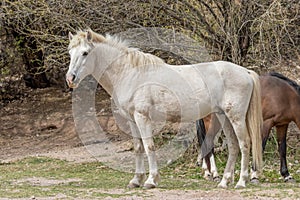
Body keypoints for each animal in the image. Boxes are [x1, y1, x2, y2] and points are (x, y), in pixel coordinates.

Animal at [66, 28, 262, 188]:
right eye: (70, 53)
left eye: (85, 53)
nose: (70, 78)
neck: (130, 73)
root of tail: (245, 72)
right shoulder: (132, 120)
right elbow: (138, 148)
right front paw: (136, 181)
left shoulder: (142, 117)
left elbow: (149, 146)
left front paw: (151, 180)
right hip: (223, 117)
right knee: (234, 146)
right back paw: (224, 181)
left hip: (236, 118)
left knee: (245, 144)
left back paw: (241, 182)